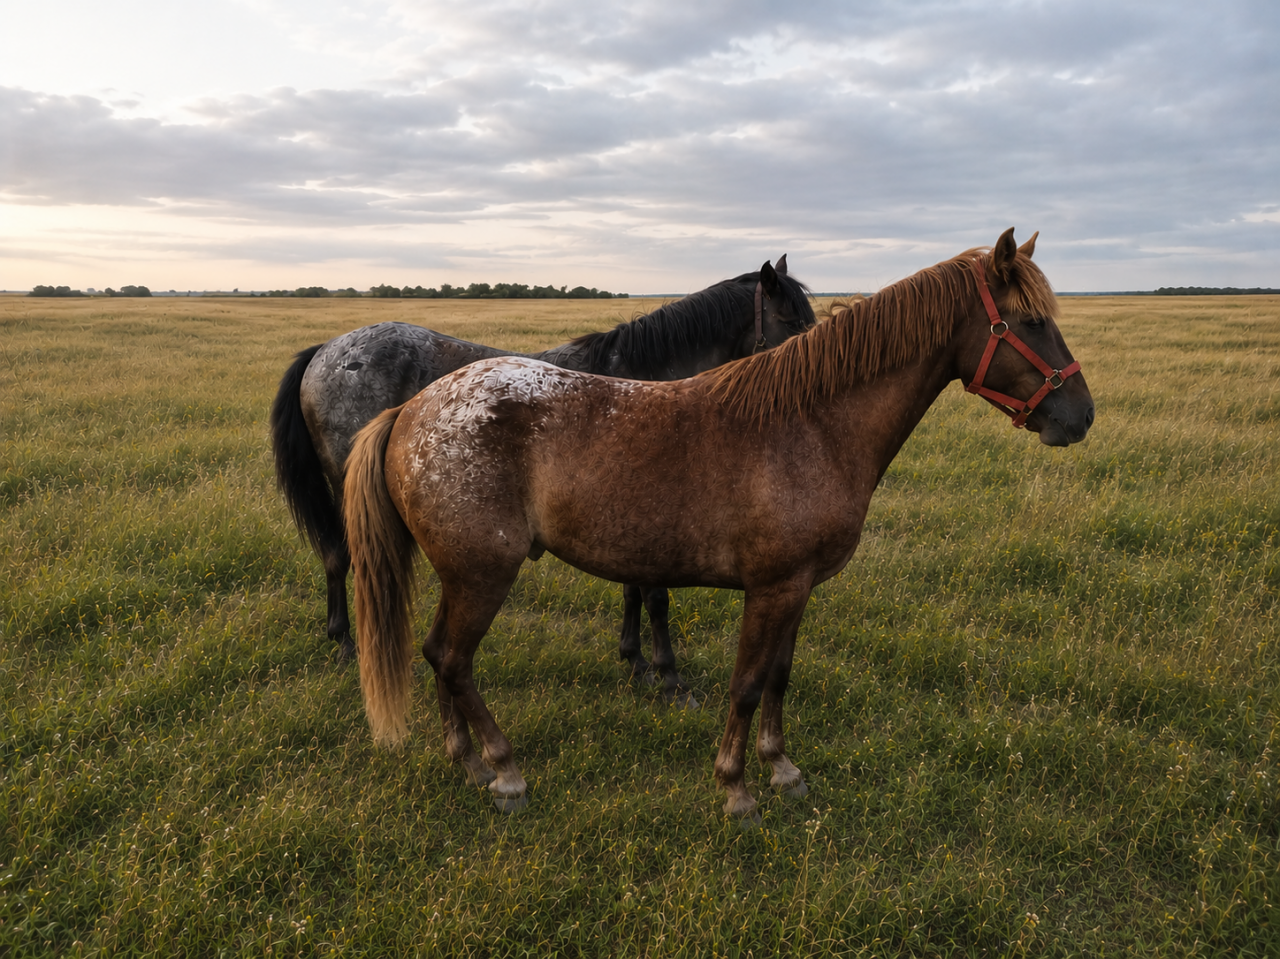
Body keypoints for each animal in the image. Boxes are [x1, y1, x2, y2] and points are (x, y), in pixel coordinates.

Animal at [269, 258, 816, 704]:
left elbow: (633, 592)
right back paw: (346, 642)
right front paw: (668, 678)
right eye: (792, 321)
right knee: (346, 556)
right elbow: (656, 597)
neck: (648, 380)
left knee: (337, 556)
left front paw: (635, 660)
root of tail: (327, 350)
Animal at [343, 228, 1095, 819]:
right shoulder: (770, 588)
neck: (811, 424)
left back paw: (466, 761)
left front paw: (782, 770)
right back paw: (502, 770)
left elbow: (779, 678)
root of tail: (410, 410)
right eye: (1029, 322)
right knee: (452, 658)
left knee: (439, 657)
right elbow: (747, 684)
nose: (1080, 416)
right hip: (481, 575)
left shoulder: (797, 588)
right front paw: (736, 789)